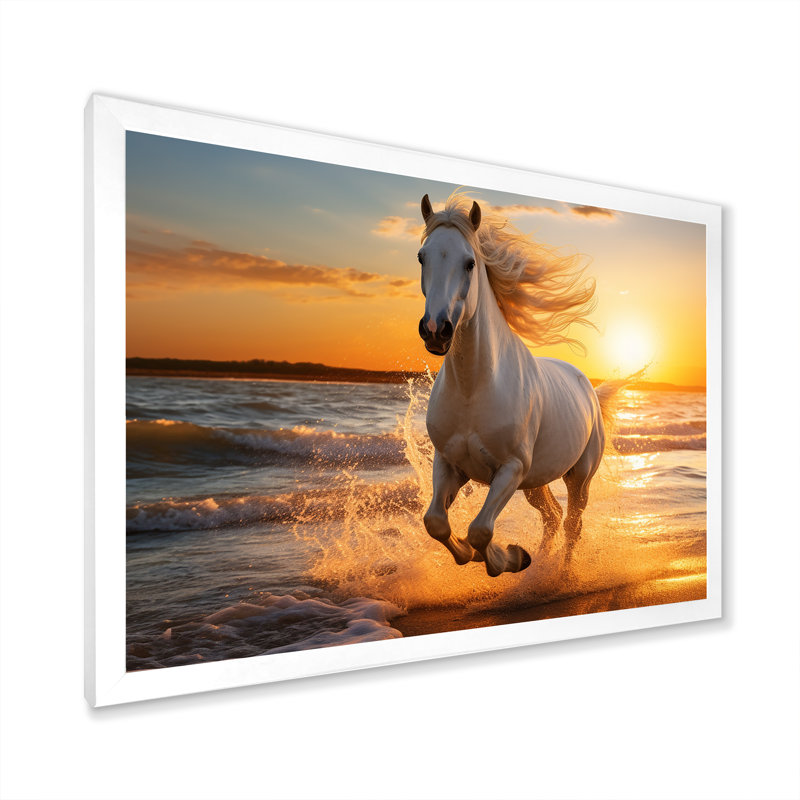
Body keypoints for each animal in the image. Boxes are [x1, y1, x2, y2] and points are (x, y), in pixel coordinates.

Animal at [417, 191, 613, 578]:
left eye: (469, 263)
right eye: (421, 257)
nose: (435, 330)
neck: (473, 389)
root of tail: (587, 386)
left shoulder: (510, 469)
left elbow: (480, 530)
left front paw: (509, 558)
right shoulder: (450, 463)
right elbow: (436, 522)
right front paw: (481, 554)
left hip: (578, 477)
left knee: (572, 524)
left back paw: (561, 575)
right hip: (535, 482)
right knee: (552, 516)